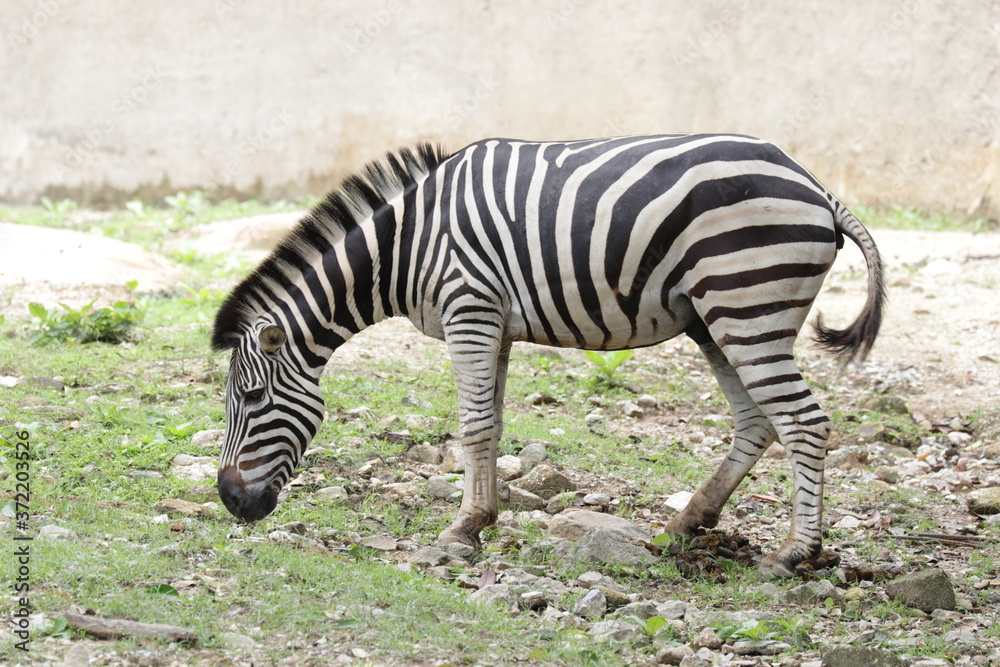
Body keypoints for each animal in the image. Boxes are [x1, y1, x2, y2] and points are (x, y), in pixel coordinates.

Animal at [212, 134, 885, 577]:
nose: (230, 502)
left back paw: (794, 554)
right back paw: (685, 524)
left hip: (746, 304)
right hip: (715, 319)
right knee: (757, 421)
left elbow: (473, 426)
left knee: (803, 422)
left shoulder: (470, 309)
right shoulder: (494, 325)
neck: (404, 247)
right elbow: (492, 425)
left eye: (250, 397)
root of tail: (815, 184)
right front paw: (480, 521)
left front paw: (460, 529)